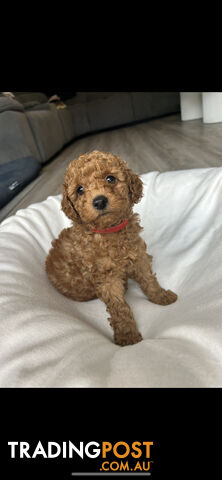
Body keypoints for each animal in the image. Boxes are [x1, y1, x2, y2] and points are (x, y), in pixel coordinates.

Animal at [46, 150, 178, 344]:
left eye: (110, 179)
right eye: (79, 190)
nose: (99, 201)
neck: (110, 231)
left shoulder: (138, 256)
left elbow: (149, 280)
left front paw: (162, 296)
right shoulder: (105, 277)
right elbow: (119, 307)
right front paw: (128, 337)